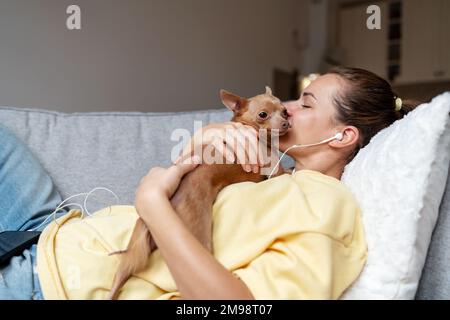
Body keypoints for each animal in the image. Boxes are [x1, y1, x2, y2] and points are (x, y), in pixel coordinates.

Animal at [108, 86, 288, 298]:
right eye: (263, 114)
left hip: (135, 248)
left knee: (121, 273)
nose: (286, 121)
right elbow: (284, 172)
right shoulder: (274, 169)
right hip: (197, 238)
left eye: (284, 110)